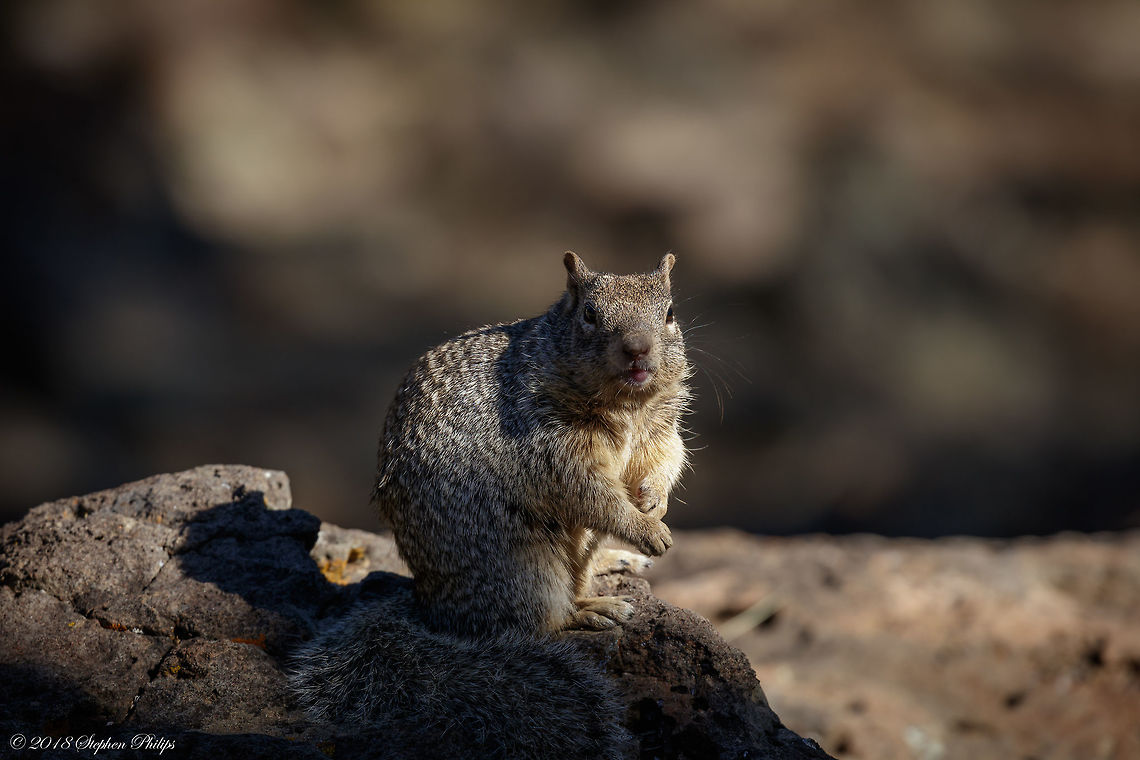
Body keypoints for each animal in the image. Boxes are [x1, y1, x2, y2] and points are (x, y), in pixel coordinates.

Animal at [290, 253, 691, 759]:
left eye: (671, 312)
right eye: (589, 314)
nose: (638, 349)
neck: (628, 407)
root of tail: (430, 609)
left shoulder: (660, 432)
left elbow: (666, 461)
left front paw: (653, 503)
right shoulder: (549, 447)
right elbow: (592, 495)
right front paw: (644, 528)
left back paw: (612, 565)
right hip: (524, 570)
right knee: (535, 624)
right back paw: (591, 610)